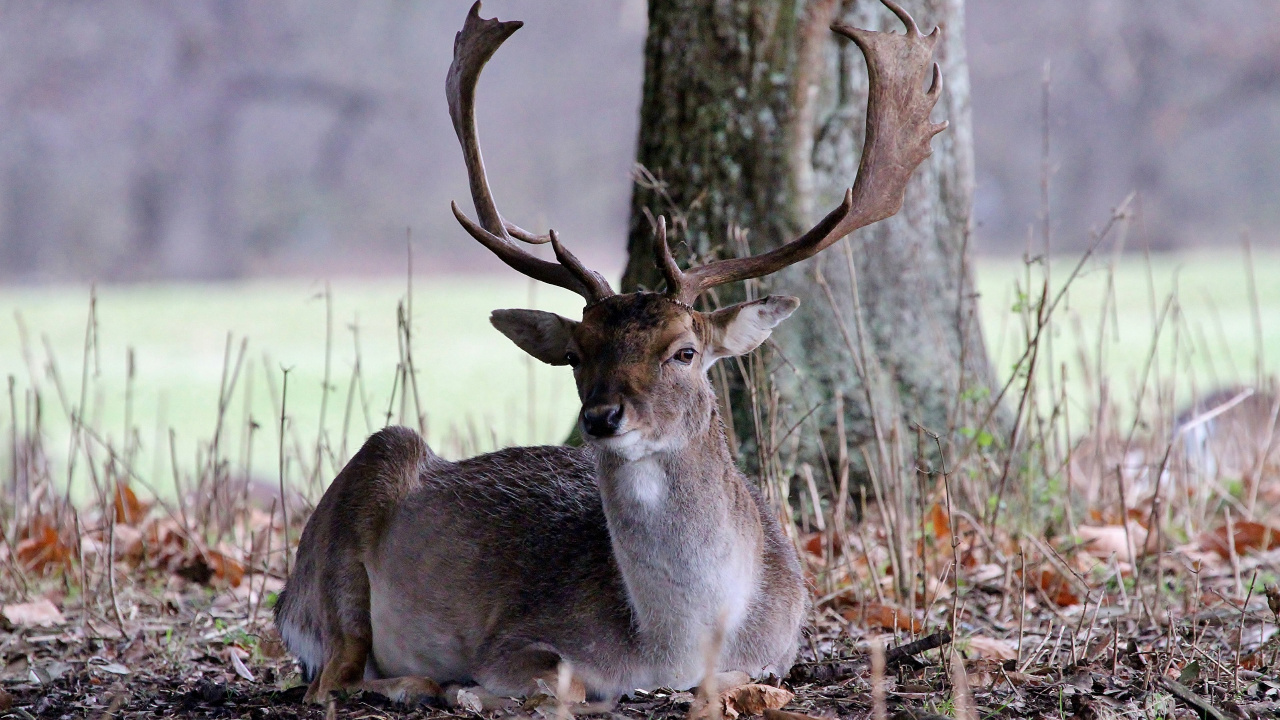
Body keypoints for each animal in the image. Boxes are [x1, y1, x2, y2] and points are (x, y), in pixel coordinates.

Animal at [274, 0, 946, 707]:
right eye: (576, 353)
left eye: (684, 352)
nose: (602, 417)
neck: (673, 646)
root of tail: (283, 602)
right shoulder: (515, 640)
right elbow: (563, 684)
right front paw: (475, 690)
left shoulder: (782, 647)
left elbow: (739, 678)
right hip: (348, 538)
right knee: (331, 680)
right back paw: (425, 683)